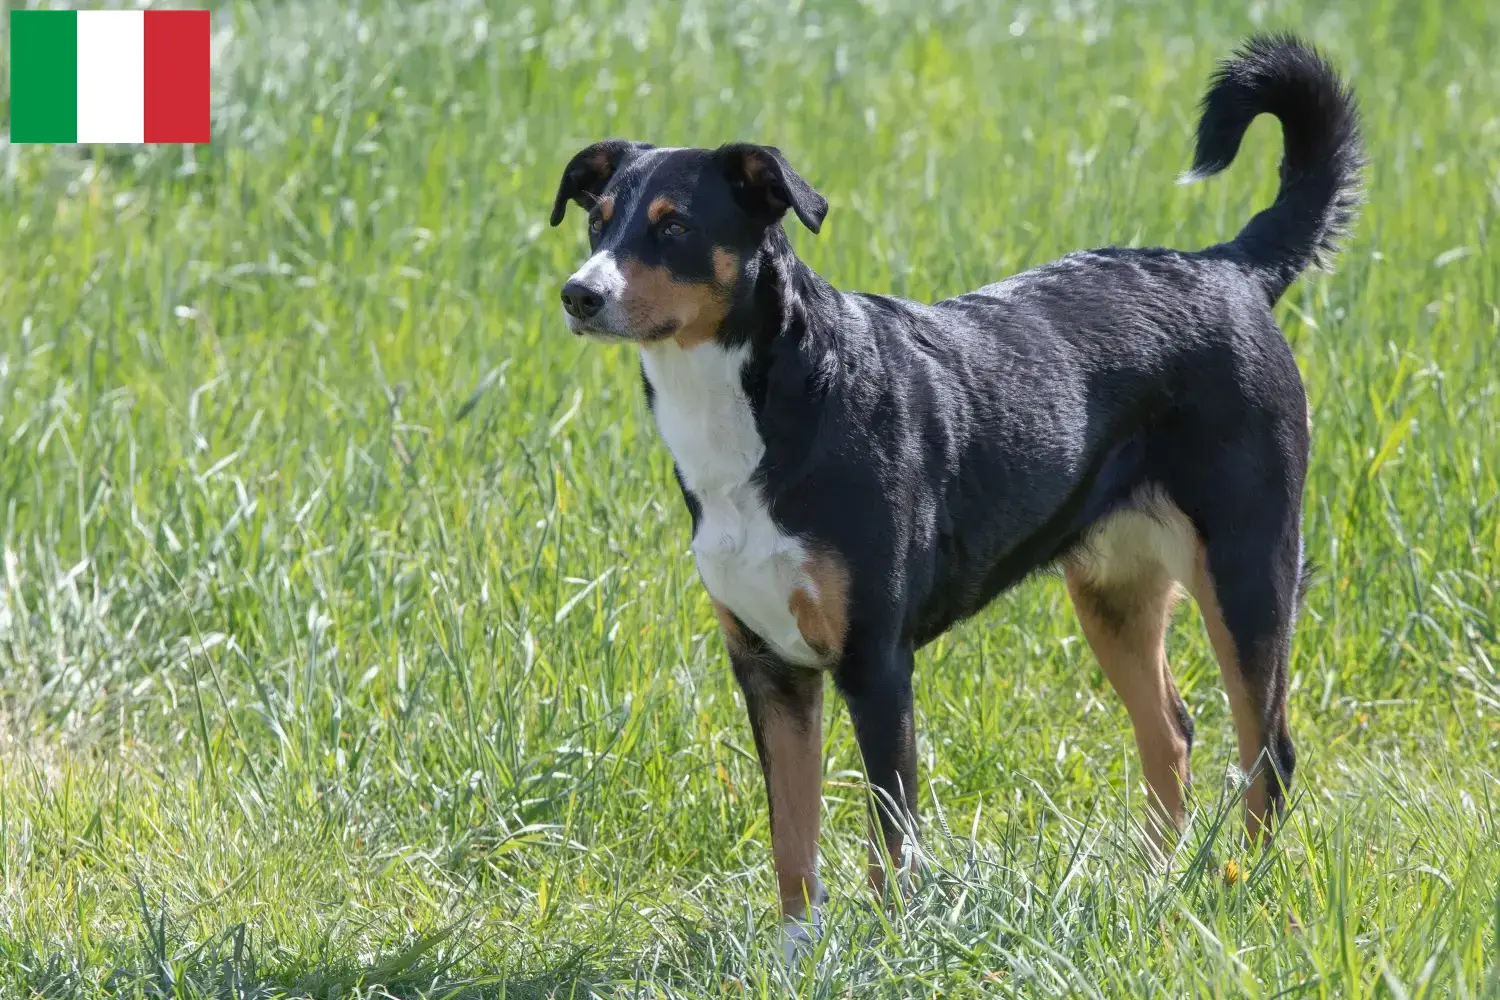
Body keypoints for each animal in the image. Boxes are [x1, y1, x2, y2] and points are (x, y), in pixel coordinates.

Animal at [549, 31, 1362, 953]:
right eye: (598, 220)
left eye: (674, 225)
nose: (580, 293)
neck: (765, 407)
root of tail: (1225, 269)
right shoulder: (769, 666)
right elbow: (793, 833)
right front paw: (796, 955)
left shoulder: (874, 663)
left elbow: (889, 839)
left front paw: (889, 948)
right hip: (1114, 589)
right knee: (1171, 735)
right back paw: (1156, 887)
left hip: (1247, 570)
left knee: (1268, 753)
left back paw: (1239, 892)